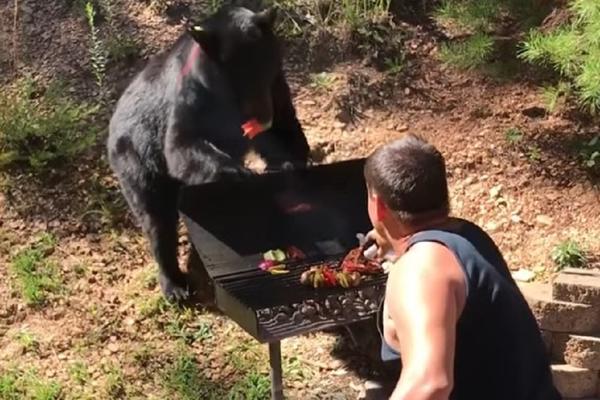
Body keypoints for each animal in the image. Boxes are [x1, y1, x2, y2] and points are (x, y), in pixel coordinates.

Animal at [107, 3, 310, 302]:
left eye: (264, 69)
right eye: (237, 81)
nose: (260, 115)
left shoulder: (276, 85)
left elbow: (284, 127)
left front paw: (286, 166)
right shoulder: (191, 93)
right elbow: (181, 146)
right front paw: (240, 175)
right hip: (137, 161)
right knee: (156, 218)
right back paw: (175, 285)